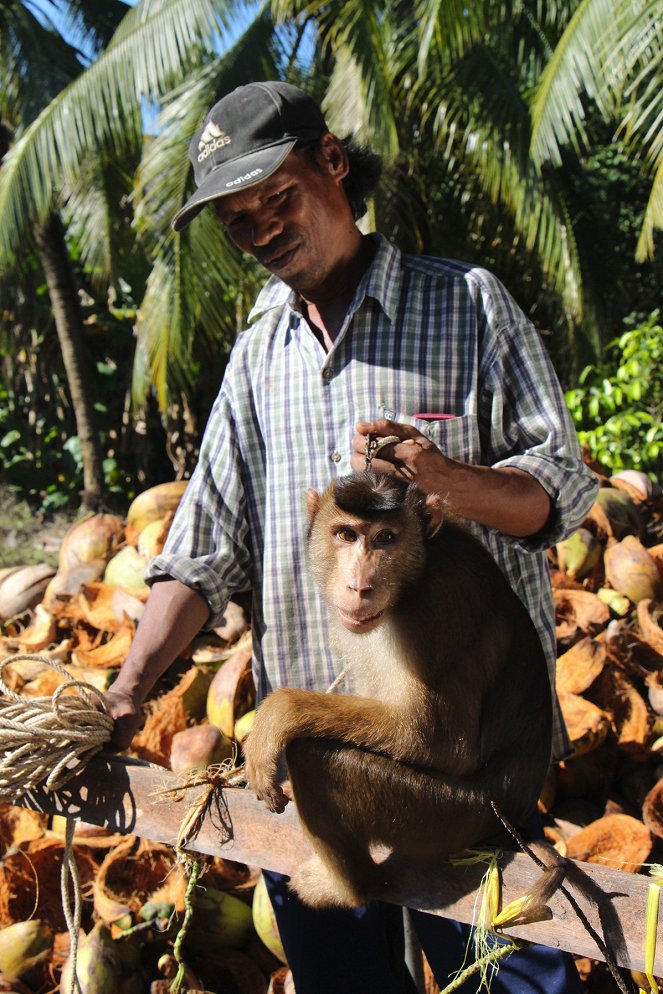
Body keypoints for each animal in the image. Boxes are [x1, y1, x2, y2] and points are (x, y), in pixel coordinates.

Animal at [244, 468, 556, 912]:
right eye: (346, 535)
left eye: (387, 538)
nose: (359, 586)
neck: (417, 575)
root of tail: (508, 820)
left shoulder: (436, 612)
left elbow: (442, 741)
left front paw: (276, 715)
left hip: (447, 818)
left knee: (313, 759)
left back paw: (351, 888)